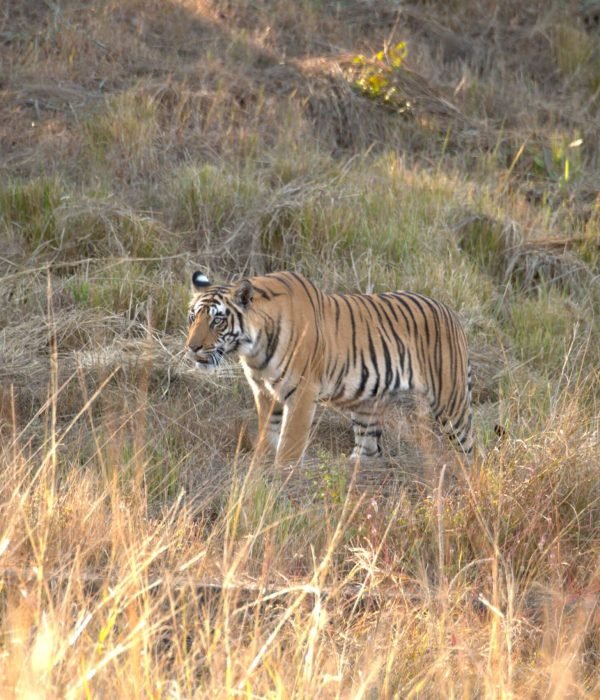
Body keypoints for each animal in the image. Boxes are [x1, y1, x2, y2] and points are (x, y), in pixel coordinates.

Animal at [185, 270, 473, 464]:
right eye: (192, 317)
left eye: (218, 321)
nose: (192, 347)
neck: (253, 349)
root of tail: (450, 312)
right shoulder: (265, 392)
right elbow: (268, 436)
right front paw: (261, 470)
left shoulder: (302, 393)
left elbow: (289, 444)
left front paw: (281, 479)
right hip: (367, 408)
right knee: (370, 449)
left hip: (452, 402)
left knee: (469, 447)